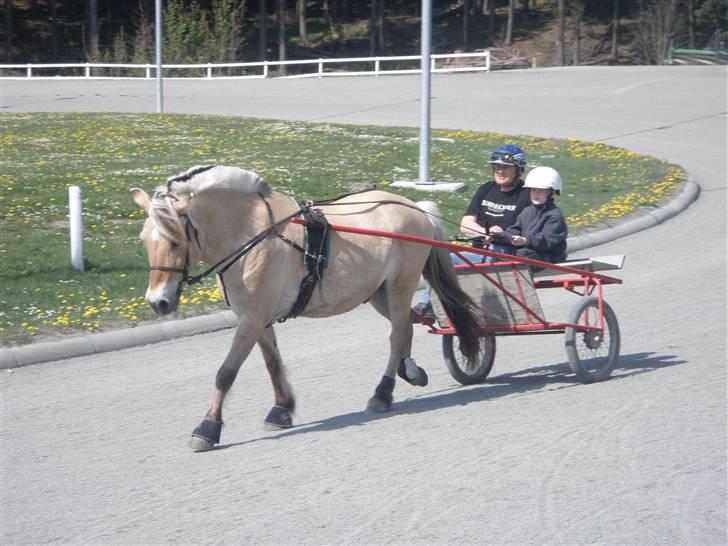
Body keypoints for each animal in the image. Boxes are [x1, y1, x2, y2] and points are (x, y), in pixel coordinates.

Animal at [132, 166, 484, 450]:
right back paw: (408, 370)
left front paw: (208, 427)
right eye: (145, 240)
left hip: (400, 285)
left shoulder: (252, 317)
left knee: (397, 335)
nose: (157, 301)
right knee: (406, 328)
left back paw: (382, 393)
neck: (252, 234)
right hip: (378, 293)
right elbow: (273, 364)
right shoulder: (258, 317)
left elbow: (226, 372)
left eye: (175, 241)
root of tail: (415, 207)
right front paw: (281, 409)